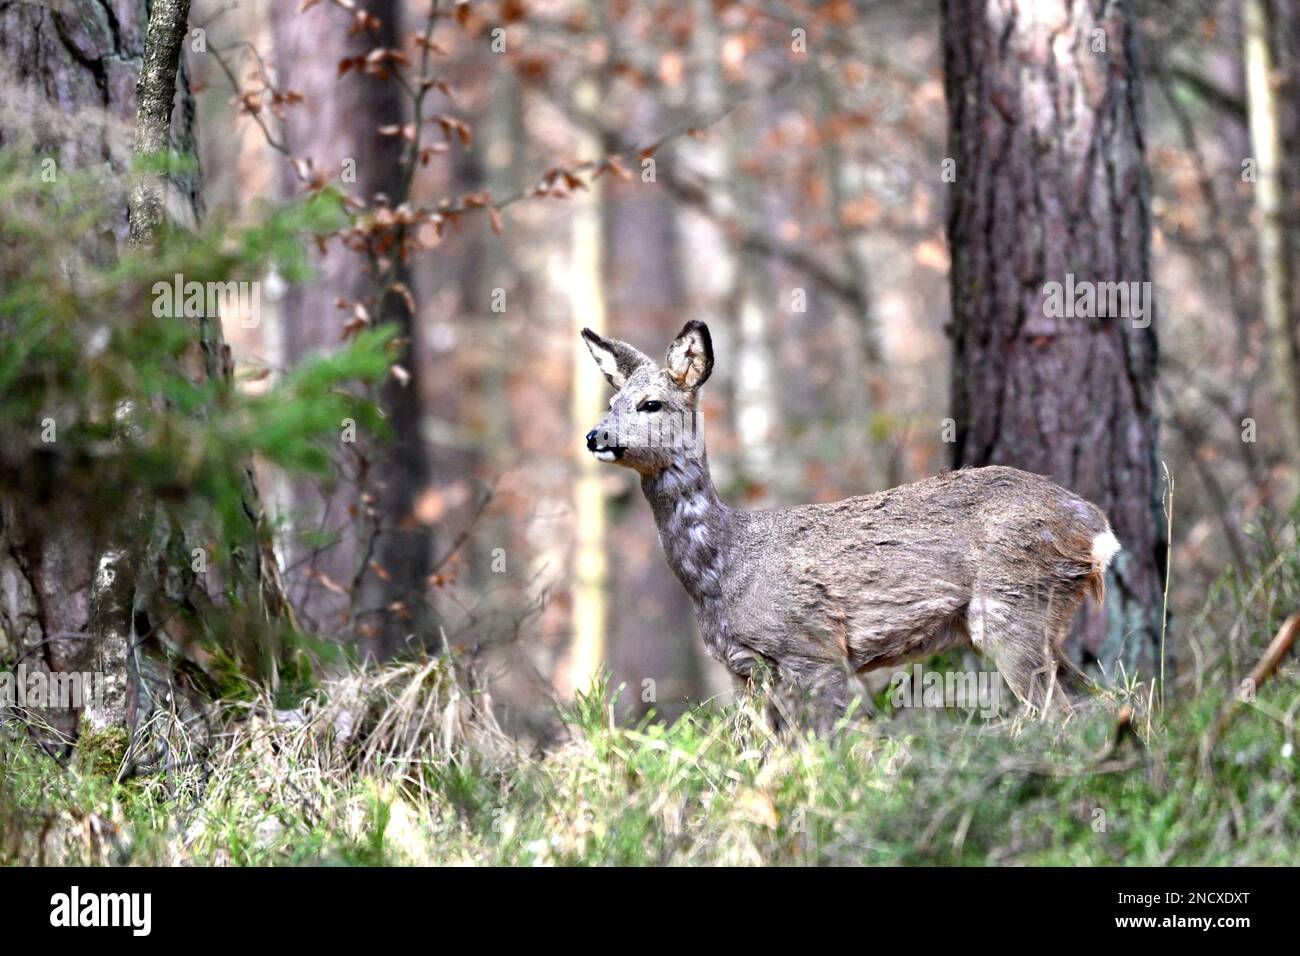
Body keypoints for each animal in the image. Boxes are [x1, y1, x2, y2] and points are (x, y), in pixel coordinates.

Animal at [579, 321, 1118, 733]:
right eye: (611, 403)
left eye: (651, 404)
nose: (594, 435)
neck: (724, 570)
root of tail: (1096, 528)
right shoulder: (744, 670)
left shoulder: (811, 647)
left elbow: (826, 742)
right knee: (1097, 700)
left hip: (1013, 605)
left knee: (1061, 713)